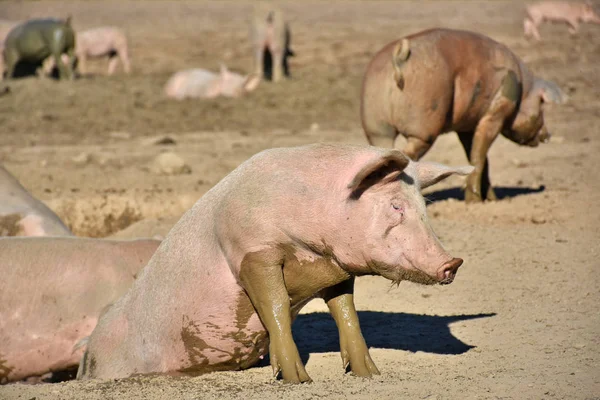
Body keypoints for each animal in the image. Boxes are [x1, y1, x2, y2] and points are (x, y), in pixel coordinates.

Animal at [76, 144, 474, 384]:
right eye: (395, 206)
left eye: (424, 208)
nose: (453, 262)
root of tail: (85, 357)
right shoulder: (252, 248)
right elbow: (276, 306)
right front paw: (299, 380)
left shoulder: (335, 269)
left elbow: (347, 313)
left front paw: (369, 374)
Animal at [360, 28, 568, 203]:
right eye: (541, 105)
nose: (548, 134)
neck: (523, 90)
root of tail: (399, 57)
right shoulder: (495, 113)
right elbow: (479, 156)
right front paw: (474, 202)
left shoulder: (466, 127)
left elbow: (478, 157)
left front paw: (492, 200)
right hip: (425, 125)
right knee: (407, 156)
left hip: (376, 126)